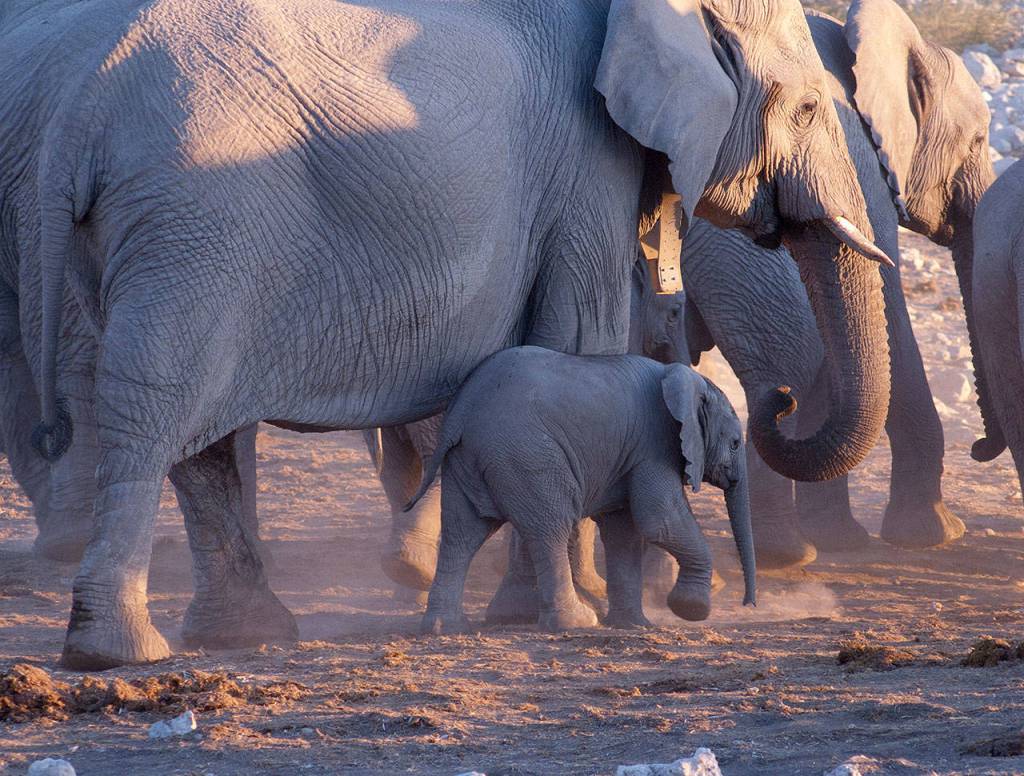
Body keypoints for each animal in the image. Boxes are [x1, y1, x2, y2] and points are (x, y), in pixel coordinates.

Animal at [410, 347, 756, 633]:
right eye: (735, 443)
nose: (749, 604)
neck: (685, 379)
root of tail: (460, 411)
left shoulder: (632, 453)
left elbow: (624, 531)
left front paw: (634, 625)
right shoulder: (654, 444)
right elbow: (659, 519)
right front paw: (691, 608)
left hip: (468, 458)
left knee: (462, 535)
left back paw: (445, 627)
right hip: (525, 455)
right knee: (550, 528)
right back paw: (576, 622)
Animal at [680, 0, 995, 567]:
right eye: (978, 142)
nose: (981, 448)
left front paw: (842, 540)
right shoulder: (862, 166)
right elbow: (889, 314)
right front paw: (934, 534)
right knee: (788, 360)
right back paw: (787, 555)